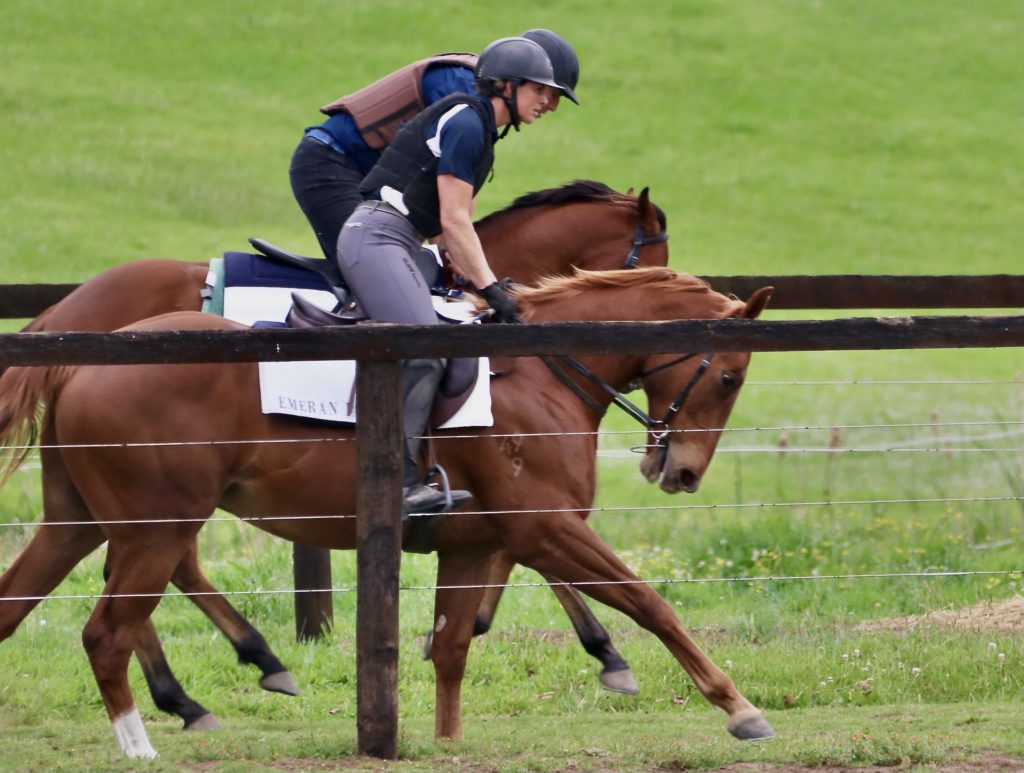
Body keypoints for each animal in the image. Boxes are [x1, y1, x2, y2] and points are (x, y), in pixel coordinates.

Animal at [0, 268, 774, 758]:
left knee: (19, 607)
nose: (683, 472)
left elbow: (454, 644)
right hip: (155, 531)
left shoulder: (474, 544)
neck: (542, 367)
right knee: (108, 633)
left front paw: (446, 741)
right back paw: (152, 735)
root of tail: (83, 358)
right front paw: (738, 707)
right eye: (729, 376)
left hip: (77, 524)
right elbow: (649, 602)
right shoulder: (547, 528)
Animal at [7, 180, 670, 726]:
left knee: (144, 568)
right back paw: (221, 677)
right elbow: (544, 552)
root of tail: (73, 310)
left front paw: (498, 622)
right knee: (158, 568)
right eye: (653, 257)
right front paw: (606, 652)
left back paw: (203, 684)